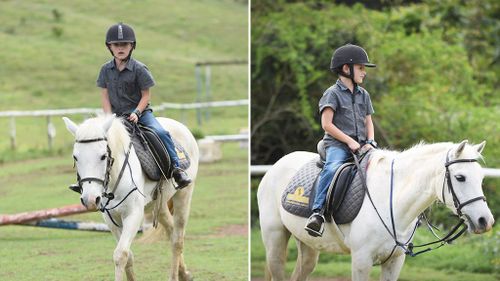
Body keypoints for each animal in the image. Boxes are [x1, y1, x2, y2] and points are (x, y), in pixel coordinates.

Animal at [64, 114, 199, 280]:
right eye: (75, 157)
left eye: (103, 156)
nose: (90, 200)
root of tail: (181, 126)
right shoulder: (110, 219)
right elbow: (128, 256)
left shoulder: (133, 214)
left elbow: (120, 254)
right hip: (158, 205)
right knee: (171, 232)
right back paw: (184, 273)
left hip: (183, 195)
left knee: (177, 240)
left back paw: (175, 276)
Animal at [260, 140, 494, 280]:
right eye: (460, 177)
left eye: (481, 178)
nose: (485, 221)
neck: (392, 203)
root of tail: (276, 165)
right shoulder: (361, 261)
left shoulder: (394, 261)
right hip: (275, 240)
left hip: (308, 246)